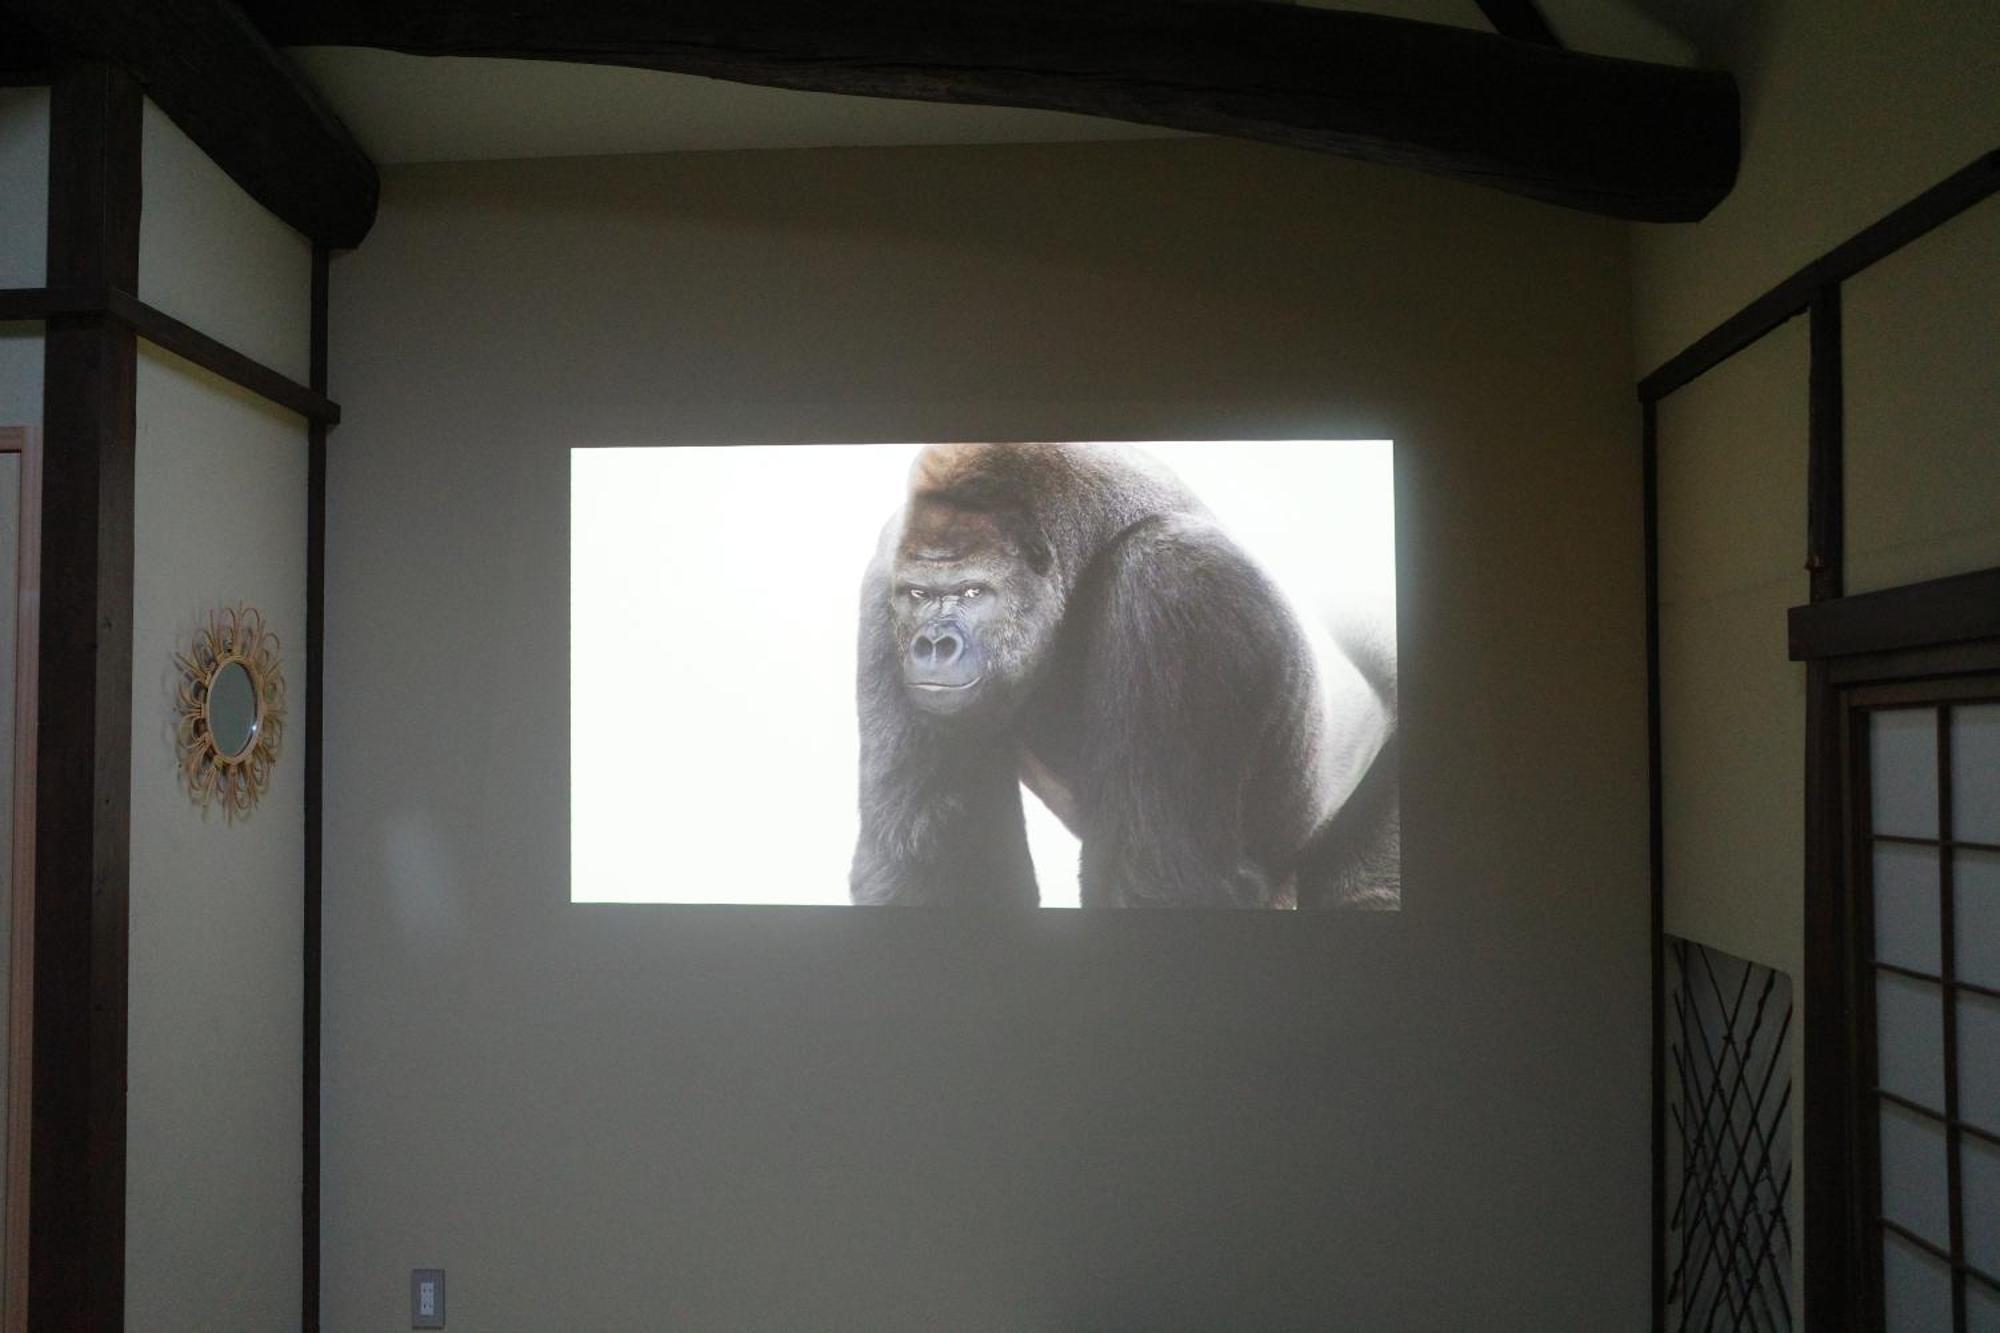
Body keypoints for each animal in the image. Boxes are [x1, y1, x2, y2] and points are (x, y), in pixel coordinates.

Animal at [852, 440, 1400, 908]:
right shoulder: (885, 575)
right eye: (918, 594)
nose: (932, 646)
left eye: (972, 592)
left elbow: (1158, 878)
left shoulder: (1172, 580)